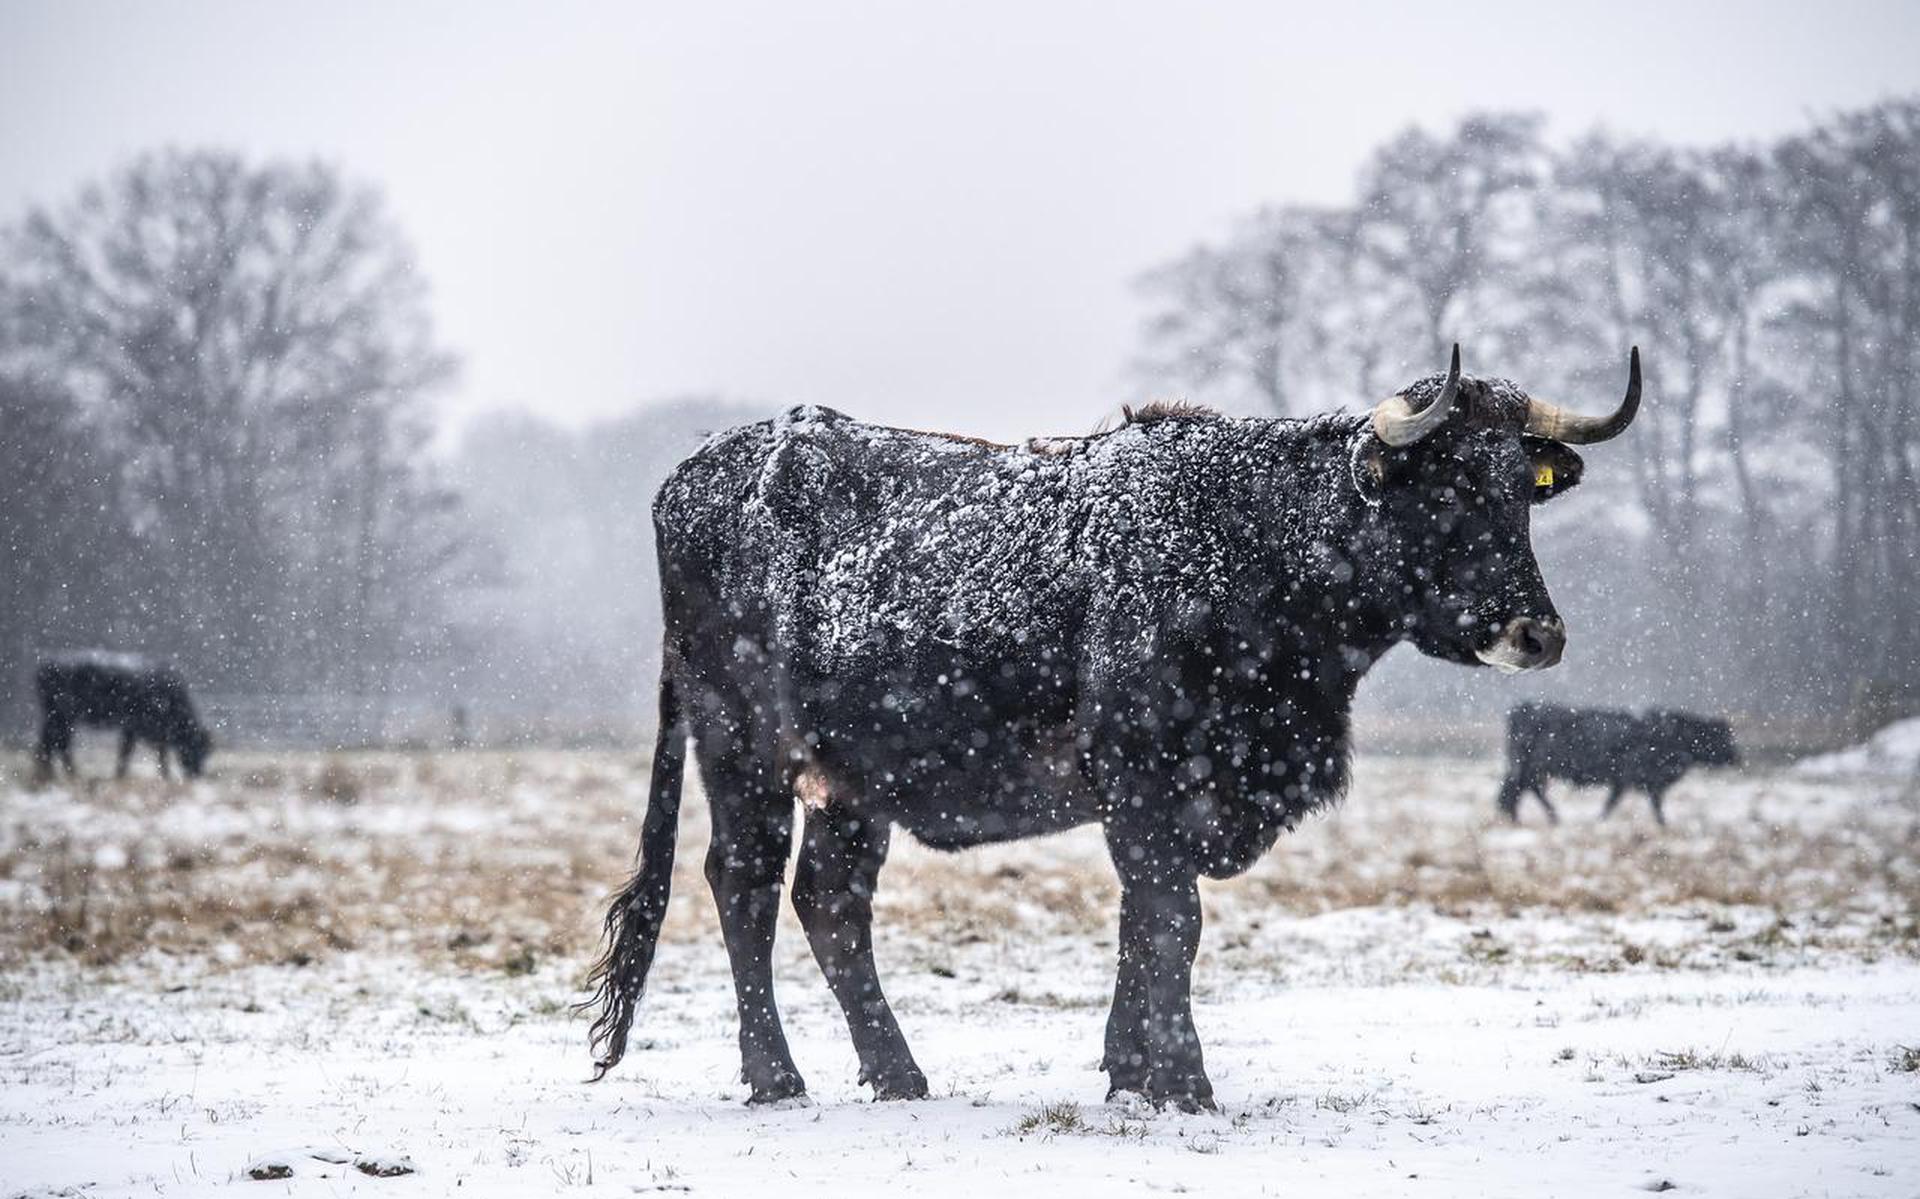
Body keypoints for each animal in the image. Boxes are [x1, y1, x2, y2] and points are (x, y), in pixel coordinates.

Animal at [31, 649, 212, 783]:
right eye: (197, 748)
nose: (196, 774)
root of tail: (48, 662)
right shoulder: (136, 726)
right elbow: (129, 751)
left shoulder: (136, 729)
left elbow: (151, 752)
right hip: (63, 717)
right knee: (57, 744)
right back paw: (67, 774)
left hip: (58, 718)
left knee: (50, 743)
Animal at [1497, 703, 1743, 822]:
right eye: (1720, 737)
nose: (1737, 757)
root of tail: (1525, 708)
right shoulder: (1633, 777)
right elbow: (1636, 803)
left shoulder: (1629, 780)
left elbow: (1617, 802)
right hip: (1532, 766)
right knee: (1527, 788)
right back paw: (1551, 816)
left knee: (1519, 790)